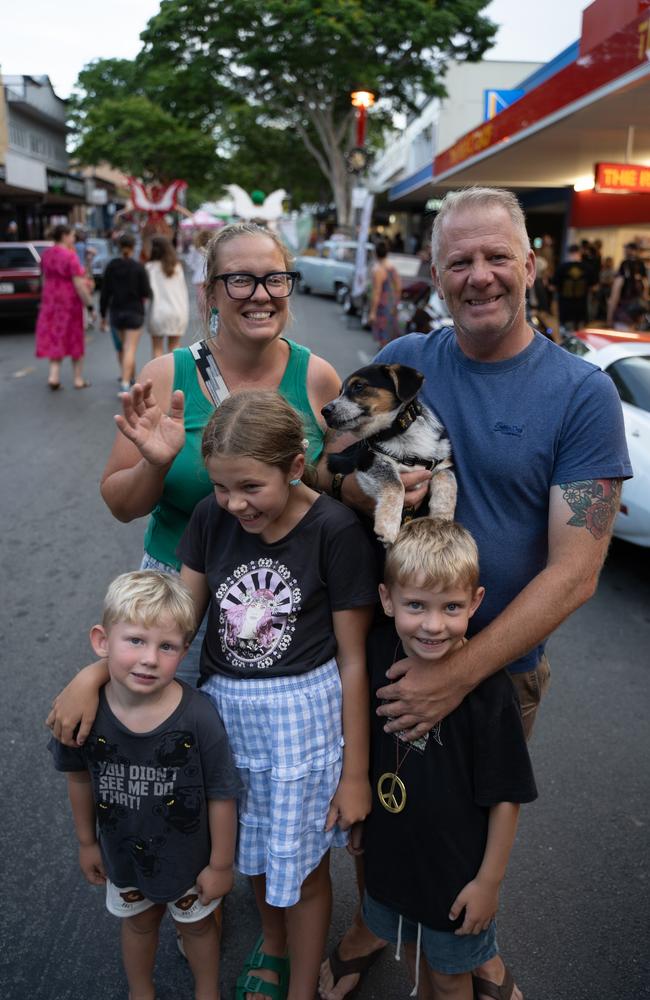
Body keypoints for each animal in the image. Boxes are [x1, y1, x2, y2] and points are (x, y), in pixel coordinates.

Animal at [320, 364, 456, 544]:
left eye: (358, 386)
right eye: (340, 391)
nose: (324, 411)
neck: (398, 432)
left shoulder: (442, 464)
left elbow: (448, 484)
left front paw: (442, 520)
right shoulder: (368, 460)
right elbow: (396, 484)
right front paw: (387, 527)